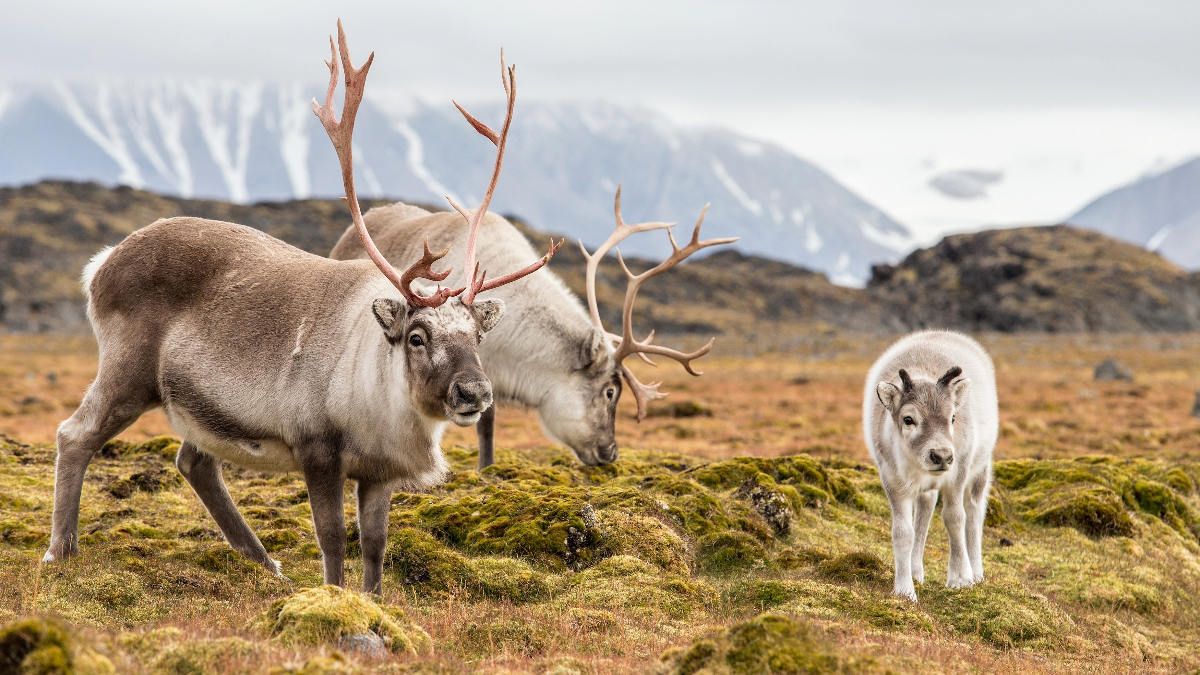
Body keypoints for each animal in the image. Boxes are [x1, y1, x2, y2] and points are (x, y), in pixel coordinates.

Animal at [42, 21, 559, 595]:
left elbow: (375, 545)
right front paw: (333, 596)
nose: (475, 392)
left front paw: (373, 601)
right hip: (128, 373)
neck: (379, 395)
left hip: (196, 406)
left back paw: (264, 562)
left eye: (477, 334)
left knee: (193, 461)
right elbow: (331, 538)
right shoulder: (318, 451)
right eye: (417, 335)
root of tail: (102, 265)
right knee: (75, 434)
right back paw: (60, 551)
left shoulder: (378, 472)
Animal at [863, 330, 999, 602]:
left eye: (953, 418)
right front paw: (904, 589)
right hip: (926, 489)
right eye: (908, 419)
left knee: (974, 513)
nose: (942, 456)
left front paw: (960, 578)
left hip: (981, 469)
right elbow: (903, 532)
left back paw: (977, 572)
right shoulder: (892, 481)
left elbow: (955, 518)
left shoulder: (958, 474)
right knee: (924, 514)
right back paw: (916, 571)